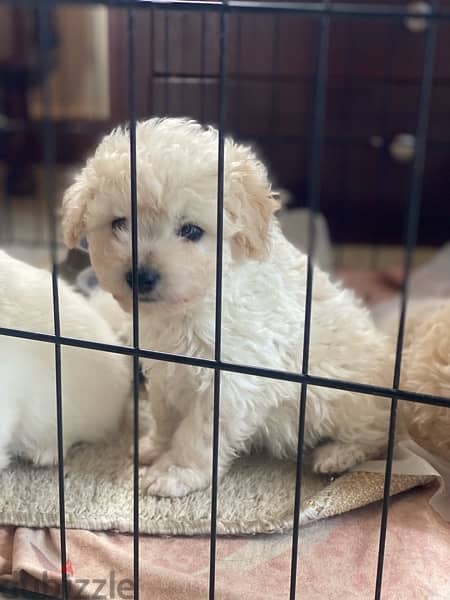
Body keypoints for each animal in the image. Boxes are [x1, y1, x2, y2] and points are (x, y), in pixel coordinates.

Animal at [61, 117, 396, 496]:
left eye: (191, 231)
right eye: (119, 223)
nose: (141, 276)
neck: (190, 310)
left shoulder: (230, 382)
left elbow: (197, 435)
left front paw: (175, 471)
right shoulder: (166, 373)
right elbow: (166, 415)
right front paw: (153, 447)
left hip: (347, 401)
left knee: (377, 433)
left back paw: (337, 455)